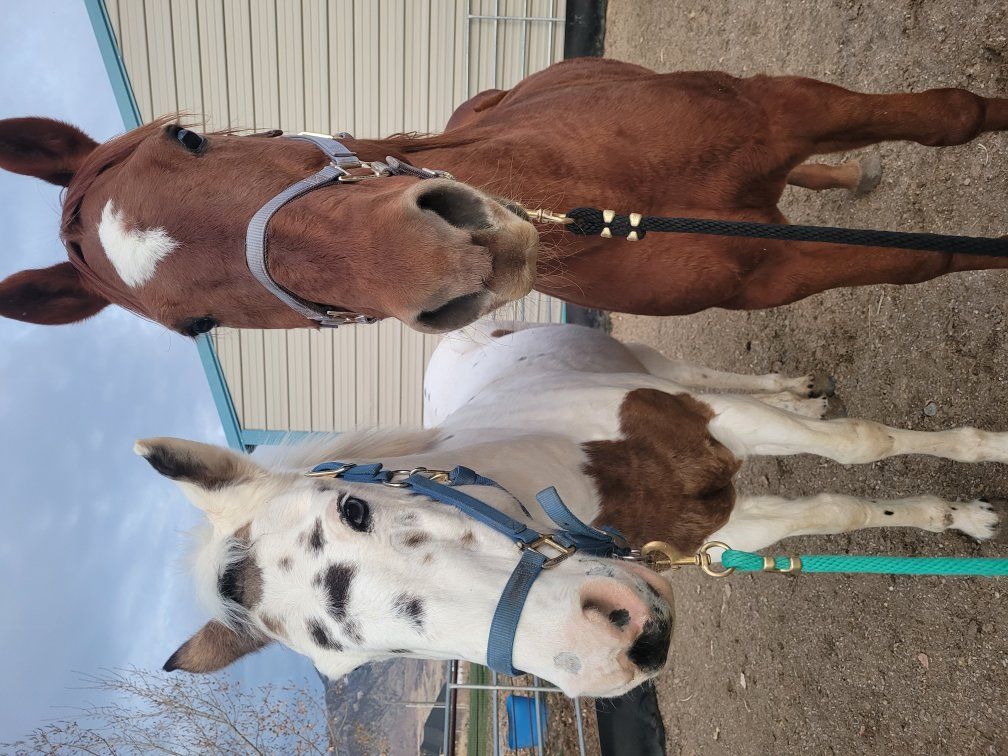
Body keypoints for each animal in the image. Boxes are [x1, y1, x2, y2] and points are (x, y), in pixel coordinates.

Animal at [2, 58, 1005, 334]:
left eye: (188, 137)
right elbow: (931, 260)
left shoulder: (781, 108)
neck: (603, 198)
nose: (446, 255)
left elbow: (953, 117)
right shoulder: (773, 271)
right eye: (195, 330)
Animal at [139, 322, 1001, 697]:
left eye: (355, 509)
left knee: (717, 374)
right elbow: (837, 507)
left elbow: (859, 443)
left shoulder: (720, 422)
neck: (558, 462)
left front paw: (989, 453)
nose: (622, 643)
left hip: (657, 365)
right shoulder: (715, 524)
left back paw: (801, 386)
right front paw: (958, 520)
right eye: (372, 662)